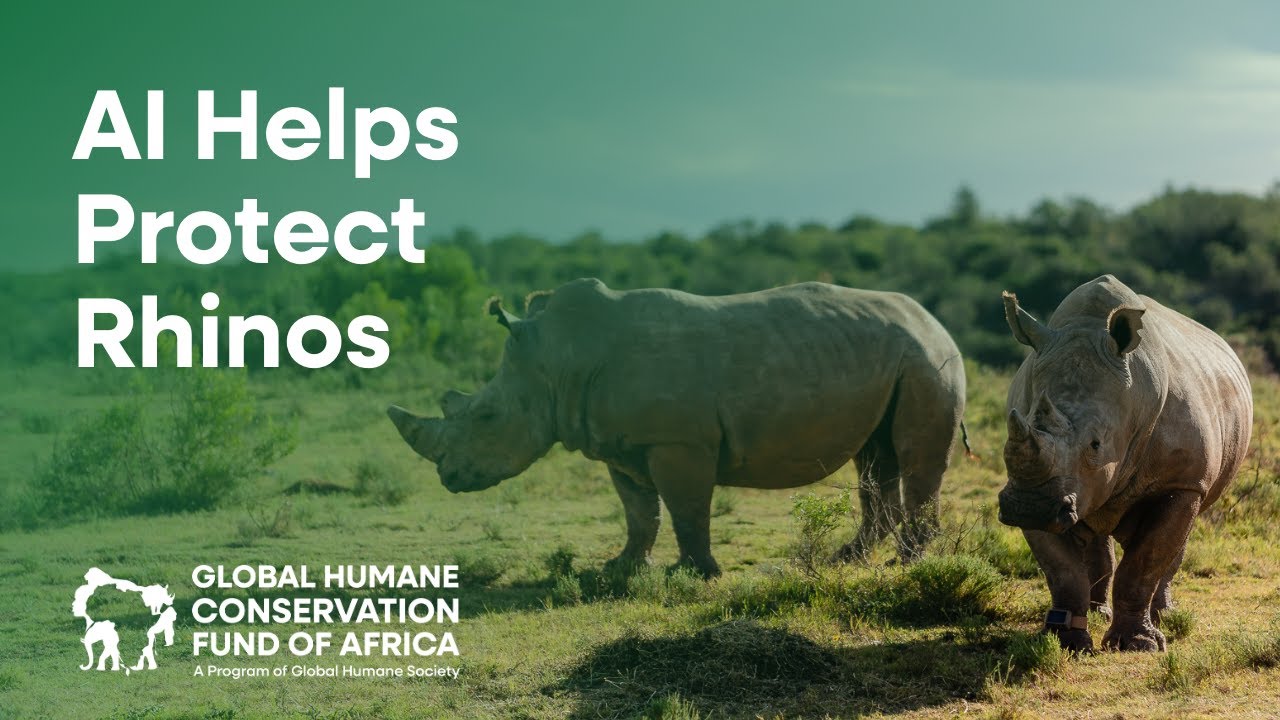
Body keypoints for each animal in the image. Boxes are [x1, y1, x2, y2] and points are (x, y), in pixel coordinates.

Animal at [388, 278, 968, 578]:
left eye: (487, 417)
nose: (449, 479)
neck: (557, 360)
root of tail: (935, 321)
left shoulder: (678, 441)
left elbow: (687, 509)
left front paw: (695, 574)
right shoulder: (621, 443)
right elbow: (638, 512)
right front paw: (621, 569)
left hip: (925, 359)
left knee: (912, 457)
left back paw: (908, 563)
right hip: (892, 357)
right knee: (874, 456)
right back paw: (846, 559)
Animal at [999, 275, 1252, 652]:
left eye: (1096, 444)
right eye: (1014, 429)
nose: (1030, 506)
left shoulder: (1184, 481)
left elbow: (1145, 561)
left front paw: (1138, 644)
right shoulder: (1036, 483)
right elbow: (1062, 571)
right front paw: (1066, 641)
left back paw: (1164, 616)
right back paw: (1097, 611)